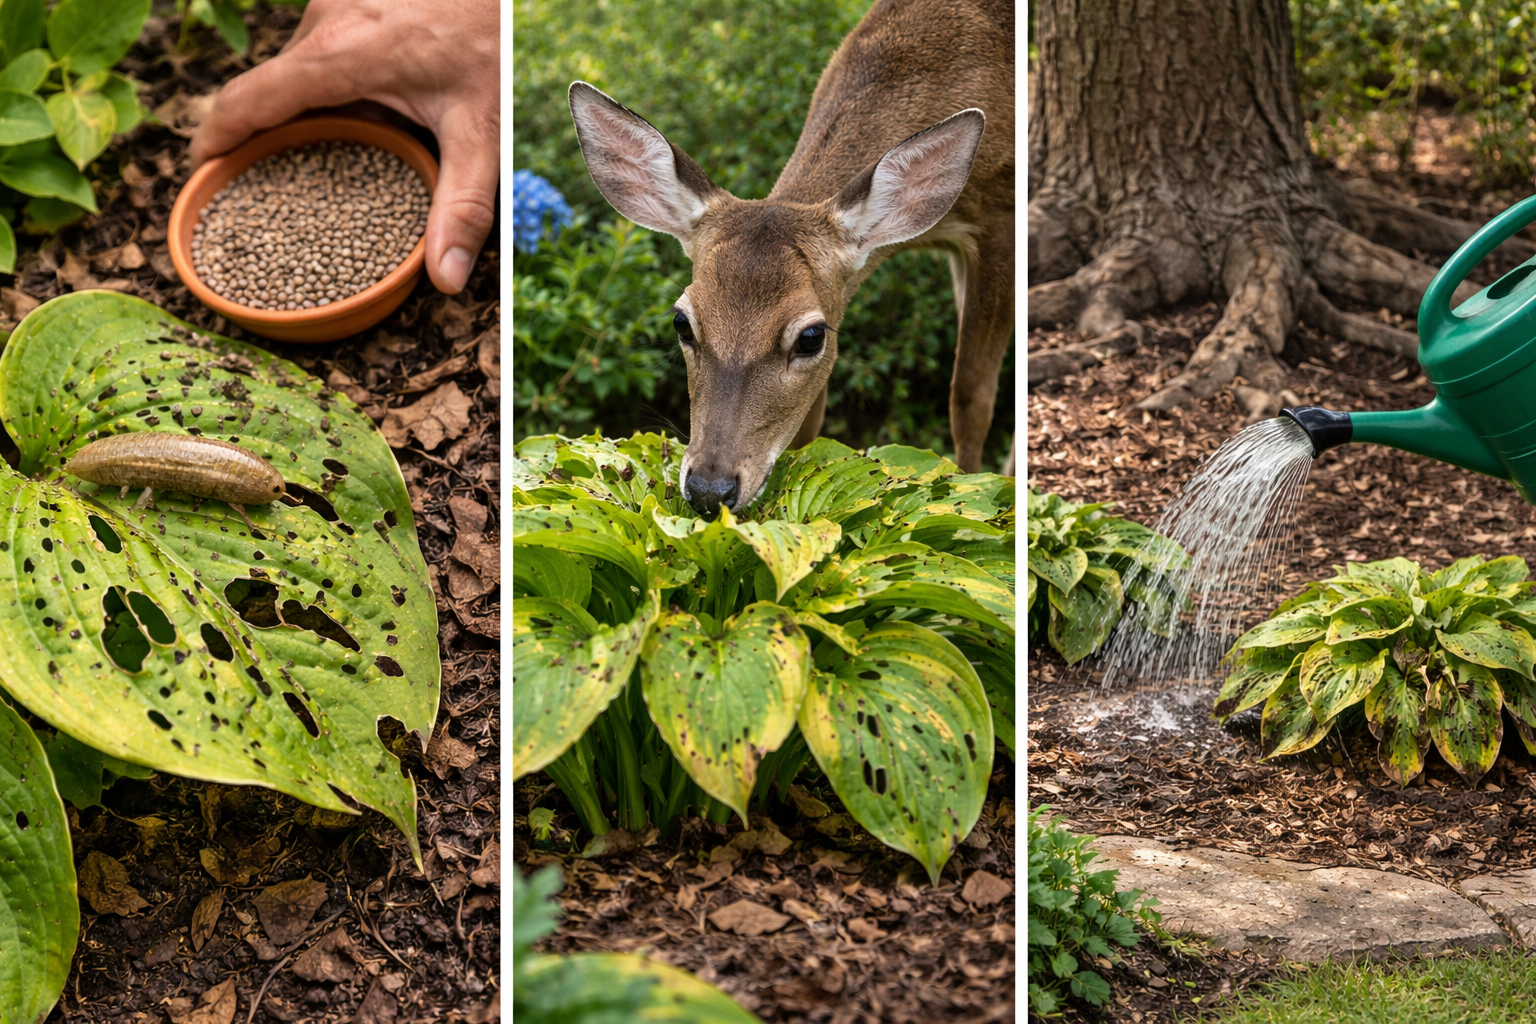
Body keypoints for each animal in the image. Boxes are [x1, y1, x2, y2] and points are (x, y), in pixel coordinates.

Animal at [567, 0, 1014, 519]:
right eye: (682, 322)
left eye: (811, 337)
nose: (709, 489)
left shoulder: (999, 220)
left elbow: (970, 399)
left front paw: (979, 489)